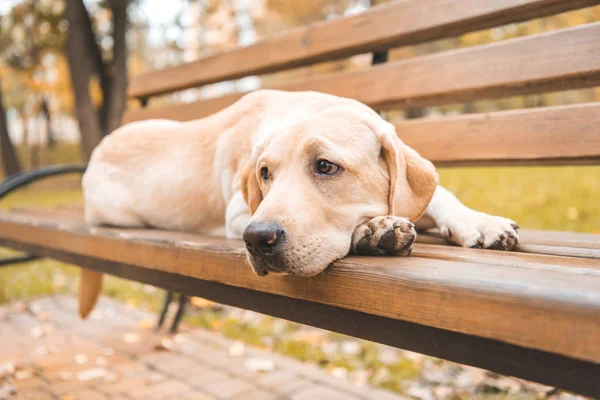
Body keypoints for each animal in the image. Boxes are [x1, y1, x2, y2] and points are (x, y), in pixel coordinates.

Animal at [78, 90, 520, 318]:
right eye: (264, 173)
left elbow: (438, 194)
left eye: (325, 166)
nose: (258, 240)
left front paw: (479, 221)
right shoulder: (238, 211)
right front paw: (373, 230)